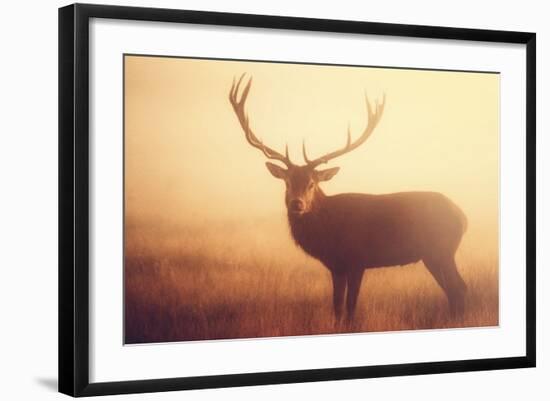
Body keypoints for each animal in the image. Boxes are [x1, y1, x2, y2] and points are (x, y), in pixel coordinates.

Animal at [230, 72, 470, 322]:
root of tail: (463, 218)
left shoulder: (357, 260)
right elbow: (337, 306)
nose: (297, 203)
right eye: (287, 182)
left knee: (459, 288)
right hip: (434, 255)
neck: (328, 233)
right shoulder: (337, 266)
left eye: (312, 183)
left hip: (441, 250)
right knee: (454, 290)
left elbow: (351, 307)